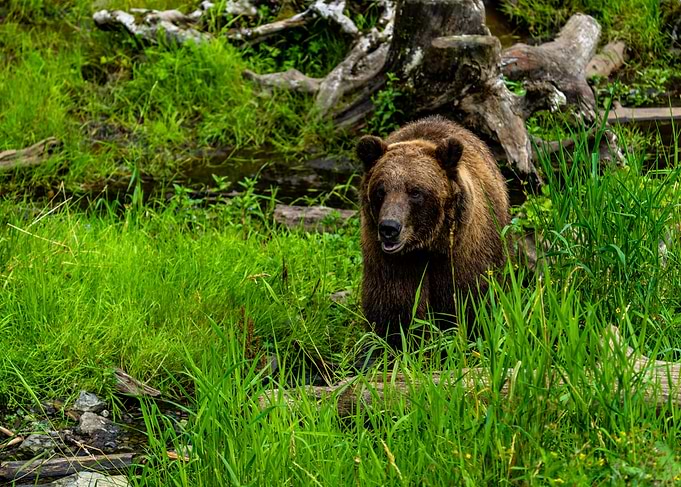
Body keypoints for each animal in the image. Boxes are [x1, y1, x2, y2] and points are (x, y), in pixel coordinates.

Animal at [356, 115, 510, 346]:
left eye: (415, 192)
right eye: (380, 190)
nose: (389, 227)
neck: (427, 247)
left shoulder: (464, 254)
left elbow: (468, 302)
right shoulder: (392, 263)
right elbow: (394, 308)